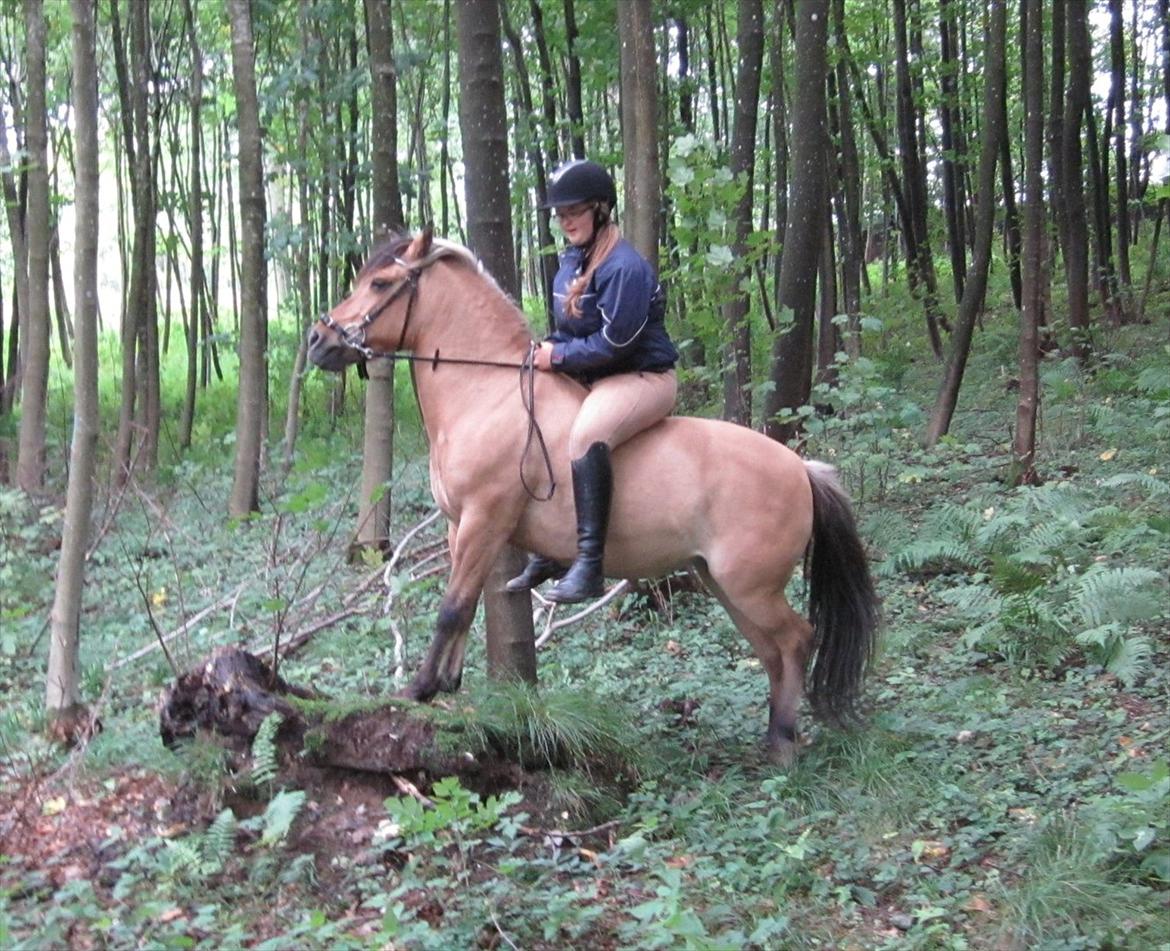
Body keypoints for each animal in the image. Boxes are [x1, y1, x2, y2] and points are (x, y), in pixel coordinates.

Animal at [308, 230, 879, 762]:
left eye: (379, 284)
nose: (317, 339)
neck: (487, 395)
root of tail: (801, 468)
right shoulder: (458, 525)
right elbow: (466, 606)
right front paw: (446, 685)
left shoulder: (483, 520)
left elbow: (451, 606)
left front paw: (419, 689)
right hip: (722, 582)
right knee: (772, 650)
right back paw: (772, 739)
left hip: (749, 585)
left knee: (796, 639)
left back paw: (782, 744)